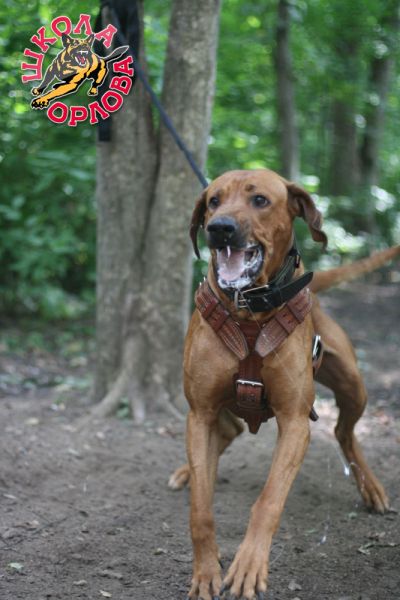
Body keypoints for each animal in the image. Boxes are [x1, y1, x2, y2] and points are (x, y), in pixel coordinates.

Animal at [168, 169, 399, 600]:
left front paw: (248, 567)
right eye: (213, 201)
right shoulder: (200, 413)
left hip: (353, 385)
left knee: (344, 432)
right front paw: (206, 571)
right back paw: (188, 471)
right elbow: (201, 509)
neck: (249, 310)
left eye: (259, 200)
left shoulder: (294, 421)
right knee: (228, 433)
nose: (219, 228)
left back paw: (372, 488)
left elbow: (269, 500)